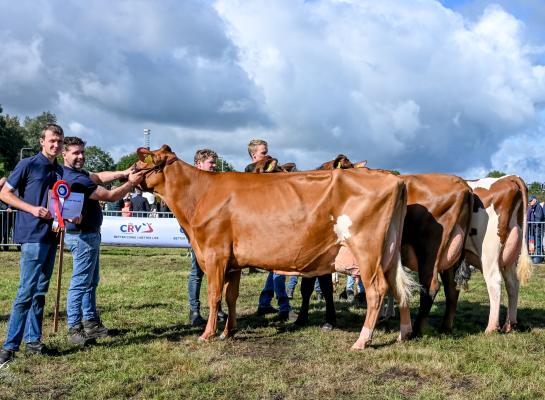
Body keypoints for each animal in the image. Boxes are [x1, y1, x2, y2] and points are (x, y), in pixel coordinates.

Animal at [134, 145, 414, 348]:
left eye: (140, 164)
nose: (129, 173)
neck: (200, 194)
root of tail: (394, 180)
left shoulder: (215, 254)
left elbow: (214, 295)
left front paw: (208, 334)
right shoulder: (233, 262)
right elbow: (231, 296)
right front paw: (228, 332)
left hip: (366, 250)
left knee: (377, 290)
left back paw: (362, 340)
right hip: (389, 252)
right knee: (398, 287)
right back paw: (404, 333)